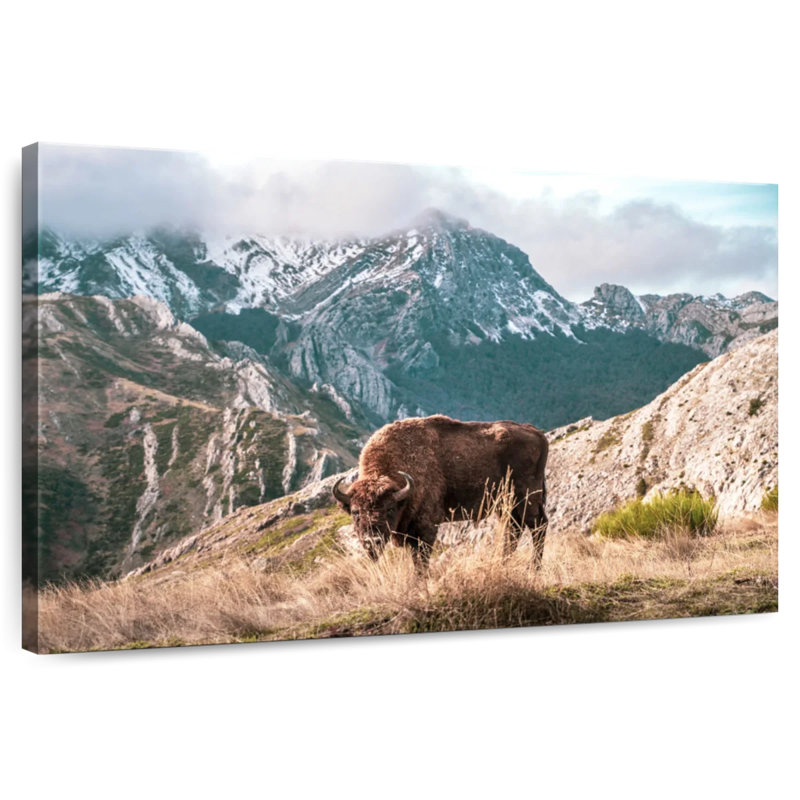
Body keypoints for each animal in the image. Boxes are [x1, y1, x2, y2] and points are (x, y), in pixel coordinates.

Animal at [333, 414, 548, 567]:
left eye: (389, 509)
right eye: (355, 512)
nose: (372, 541)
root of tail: (536, 433)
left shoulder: (425, 529)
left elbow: (421, 562)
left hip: (527, 500)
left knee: (538, 526)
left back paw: (533, 569)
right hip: (506, 506)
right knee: (513, 531)